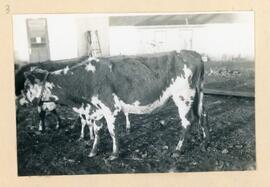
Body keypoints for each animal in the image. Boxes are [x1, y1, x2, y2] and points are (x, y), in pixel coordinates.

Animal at [20, 50, 209, 161]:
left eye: (26, 87)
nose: (20, 101)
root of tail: (194, 54)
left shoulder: (109, 107)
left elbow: (112, 131)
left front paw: (114, 154)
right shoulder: (96, 110)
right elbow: (97, 131)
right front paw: (93, 151)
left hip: (183, 96)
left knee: (187, 121)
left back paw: (178, 149)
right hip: (198, 93)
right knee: (202, 114)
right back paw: (204, 139)